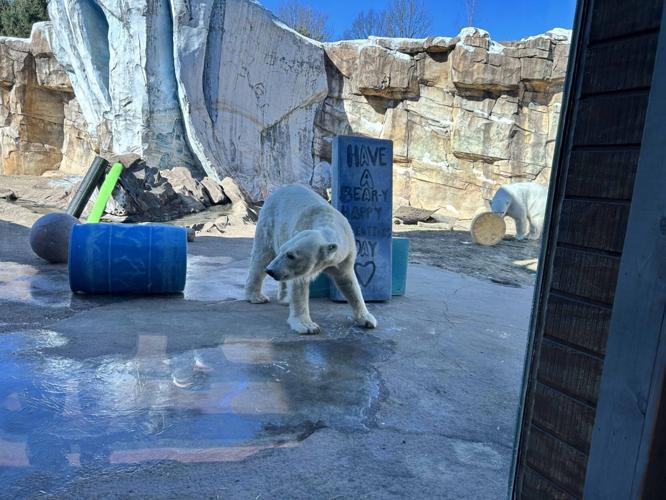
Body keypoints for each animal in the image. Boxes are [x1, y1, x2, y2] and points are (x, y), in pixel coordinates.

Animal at [245, 184, 377, 335]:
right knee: (261, 257)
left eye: (290, 255)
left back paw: (285, 298)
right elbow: (299, 285)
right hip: (269, 222)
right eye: (285, 251)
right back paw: (256, 296)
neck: (327, 220)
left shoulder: (344, 256)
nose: (271, 271)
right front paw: (307, 326)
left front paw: (367, 319)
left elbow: (349, 283)